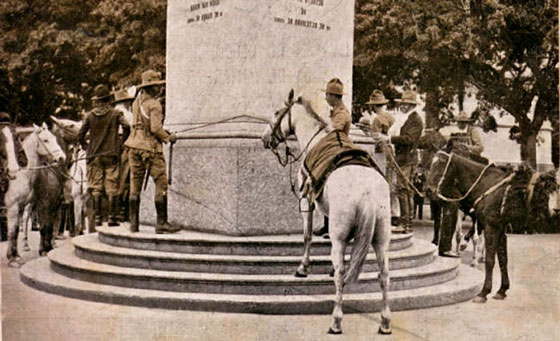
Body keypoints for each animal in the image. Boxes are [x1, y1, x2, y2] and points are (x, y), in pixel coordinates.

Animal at [4, 123, 66, 266]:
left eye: (55, 138)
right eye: (45, 140)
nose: (61, 158)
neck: (23, 174)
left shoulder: (23, 206)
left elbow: (17, 230)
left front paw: (16, 255)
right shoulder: (14, 207)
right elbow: (12, 231)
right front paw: (11, 258)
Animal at [260, 90, 392, 334]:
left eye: (276, 112)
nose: (265, 139)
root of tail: (368, 190)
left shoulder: (307, 201)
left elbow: (307, 235)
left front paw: (303, 267)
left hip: (341, 237)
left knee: (341, 275)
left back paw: (336, 320)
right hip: (381, 240)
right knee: (384, 275)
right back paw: (385, 321)